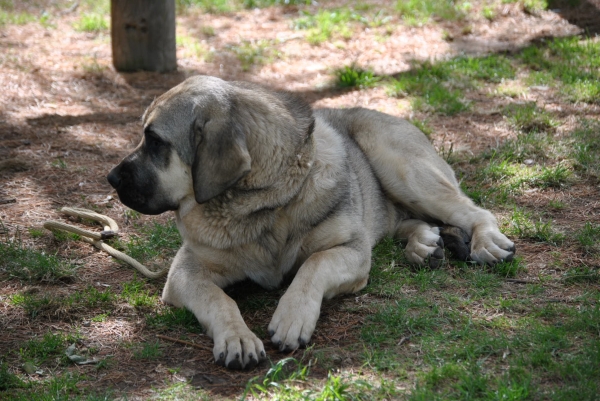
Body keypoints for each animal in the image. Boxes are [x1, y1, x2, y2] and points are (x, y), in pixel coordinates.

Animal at [108, 75, 516, 368]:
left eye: (155, 141)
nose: (111, 178)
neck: (260, 204)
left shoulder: (352, 253)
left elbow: (314, 265)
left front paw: (292, 316)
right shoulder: (185, 273)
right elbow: (217, 298)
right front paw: (237, 337)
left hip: (402, 168)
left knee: (472, 211)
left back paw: (483, 243)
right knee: (411, 221)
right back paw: (425, 245)